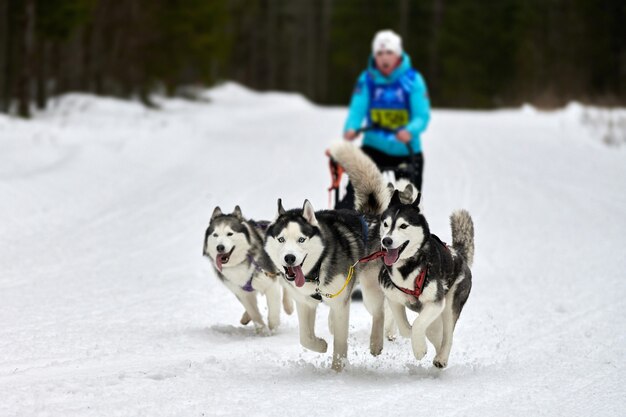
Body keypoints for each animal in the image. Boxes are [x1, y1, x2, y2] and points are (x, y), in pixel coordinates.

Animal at [376, 192, 472, 368]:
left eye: (403, 226)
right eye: (385, 224)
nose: (386, 240)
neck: (407, 267)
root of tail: (458, 255)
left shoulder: (436, 301)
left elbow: (418, 325)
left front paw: (419, 349)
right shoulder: (393, 298)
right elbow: (405, 327)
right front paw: (415, 337)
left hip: (450, 304)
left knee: (447, 335)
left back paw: (441, 358)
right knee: (435, 331)